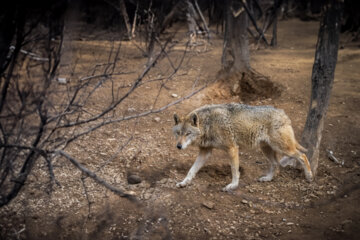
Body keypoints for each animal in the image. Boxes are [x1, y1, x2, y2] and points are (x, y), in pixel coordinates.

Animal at [172, 103, 312, 191]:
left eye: (188, 133)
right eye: (178, 133)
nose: (178, 146)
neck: (209, 124)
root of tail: (283, 113)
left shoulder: (232, 149)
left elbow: (234, 170)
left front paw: (233, 186)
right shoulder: (205, 152)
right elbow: (191, 170)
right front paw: (184, 182)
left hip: (283, 148)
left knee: (302, 155)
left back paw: (309, 176)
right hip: (266, 149)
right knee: (276, 164)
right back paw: (267, 178)